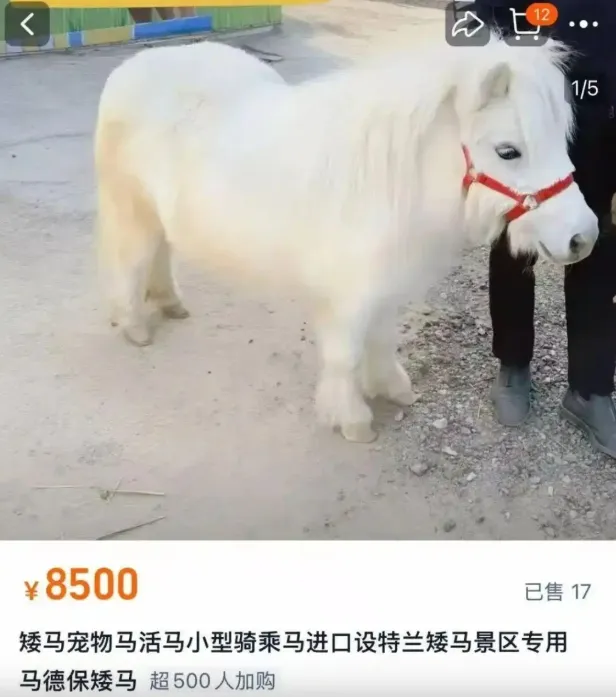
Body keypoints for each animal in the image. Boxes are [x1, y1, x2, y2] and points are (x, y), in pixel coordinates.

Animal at [94, 34, 599, 443]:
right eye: (508, 151)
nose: (585, 236)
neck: (391, 179)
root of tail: (132, 68)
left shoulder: (385, 286)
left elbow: (382, 340)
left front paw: (392, 389)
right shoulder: (347, 295)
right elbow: (345, 355)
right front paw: (352, 419)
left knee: (160, 254)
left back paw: (170, 304)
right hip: (132, 210)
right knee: (131, 263)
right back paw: (136, 326)